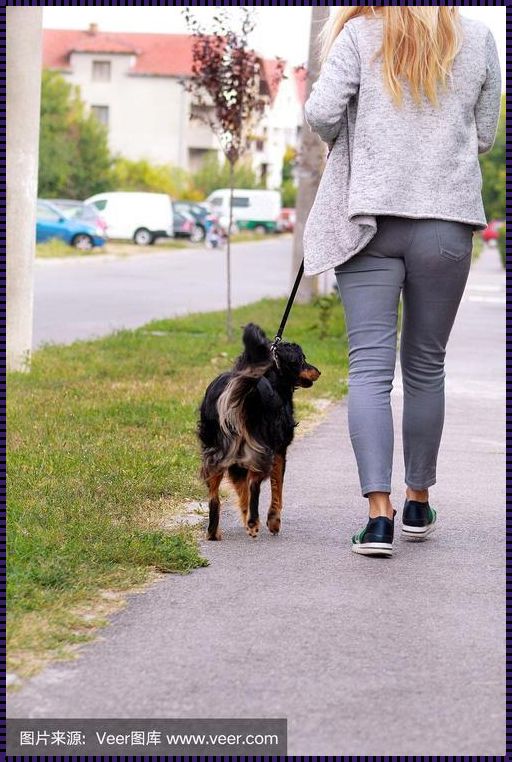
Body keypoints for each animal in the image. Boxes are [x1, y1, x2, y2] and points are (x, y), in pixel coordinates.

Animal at [197, 324, 320, 536]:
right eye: (302, 359)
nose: (318, 371)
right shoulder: (279, 449)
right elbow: (277, 487)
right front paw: (272, 521)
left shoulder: (237, 460)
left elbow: (242, 490)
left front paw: (245, 518)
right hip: (262, 447)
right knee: (255, 483)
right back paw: (254, 522)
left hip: (215, 447)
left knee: (214, 493)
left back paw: (214, 532)